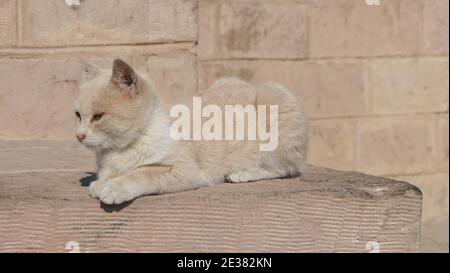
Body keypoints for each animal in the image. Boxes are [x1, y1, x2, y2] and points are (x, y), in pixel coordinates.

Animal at [74, 59, 308, 204]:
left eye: (98, 117)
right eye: (78, 115)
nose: (79, 135)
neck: (124, 148)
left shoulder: (183, 170)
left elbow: (143, 172)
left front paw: (114, 188)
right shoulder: (109, 165)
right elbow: (109, 173)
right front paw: (101, 184)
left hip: (275, 103)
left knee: (286, 168)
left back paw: (242, 174)